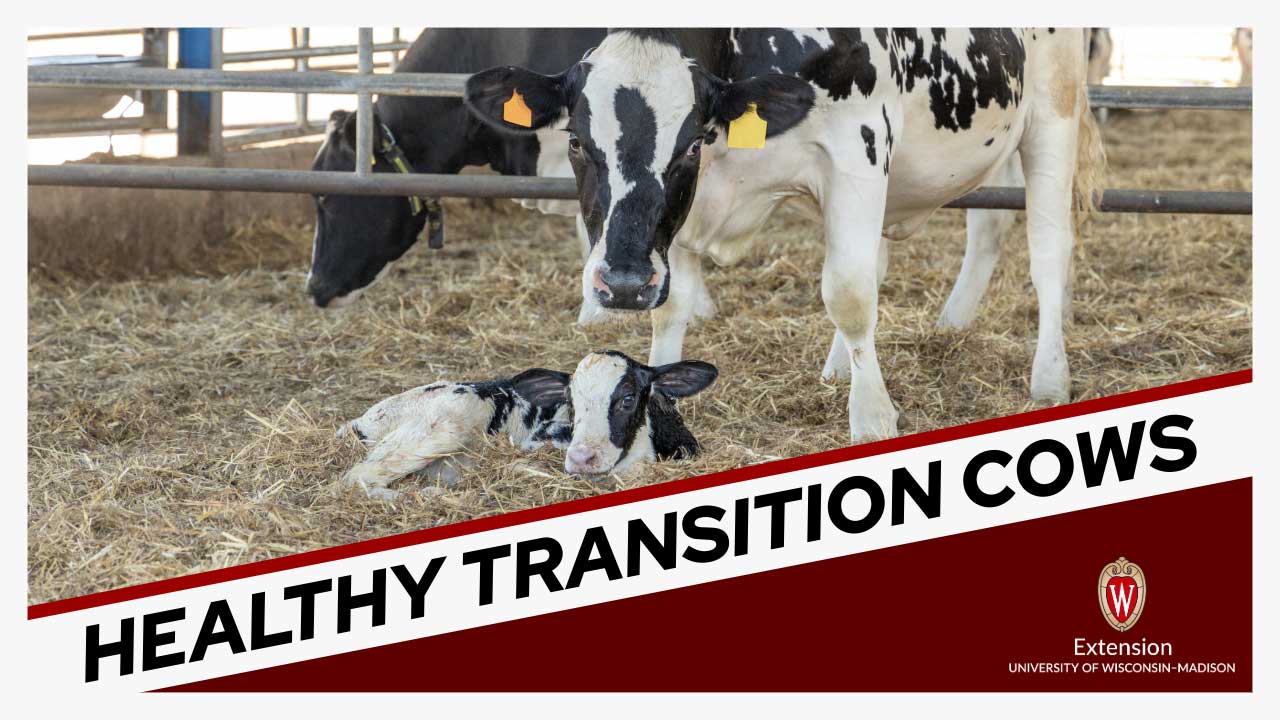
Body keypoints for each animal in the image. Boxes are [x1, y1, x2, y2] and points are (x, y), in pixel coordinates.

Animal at [465, 28, 1105, 440]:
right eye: (576, 141)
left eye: (690, 143)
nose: (621, 283)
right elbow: (670, 308)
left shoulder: (858, 149)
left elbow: (847, 294)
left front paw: (872, 418)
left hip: (1053, 108)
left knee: (1047, 248)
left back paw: (1050, 377)